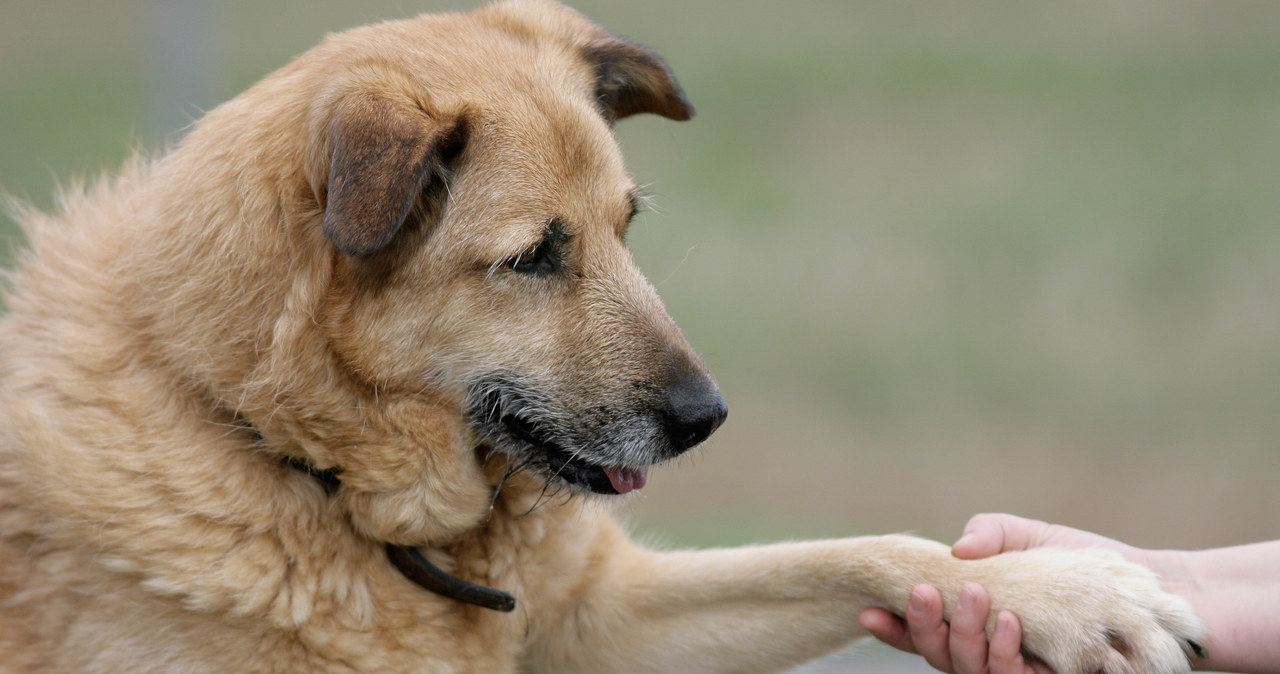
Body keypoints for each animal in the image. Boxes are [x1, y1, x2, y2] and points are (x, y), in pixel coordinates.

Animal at [0, 2, 1203, 670]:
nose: (708, 420)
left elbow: (862, 550)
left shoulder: (600, 621)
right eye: (536, 255)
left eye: (629, 226)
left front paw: (1062, 594)